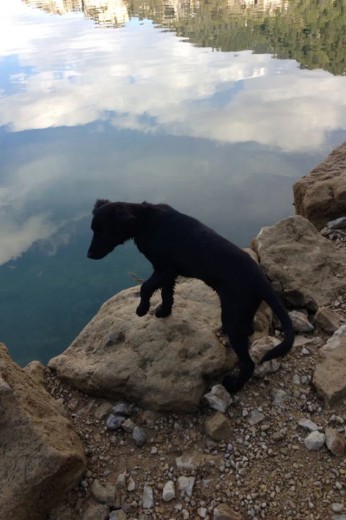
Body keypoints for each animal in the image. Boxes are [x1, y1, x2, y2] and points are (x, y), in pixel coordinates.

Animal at [88, 201, 294, 392]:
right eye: (93, 229)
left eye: (103, 230)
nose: (88, 255)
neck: (145, 220)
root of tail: (262, 281)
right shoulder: (168, 273)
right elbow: (166, 293)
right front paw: (164, 311)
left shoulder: (164, 268)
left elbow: (146, 287)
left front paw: (142, 309)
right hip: (240, 312)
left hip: (234, 315)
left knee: (248, 363)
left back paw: (233, 385)